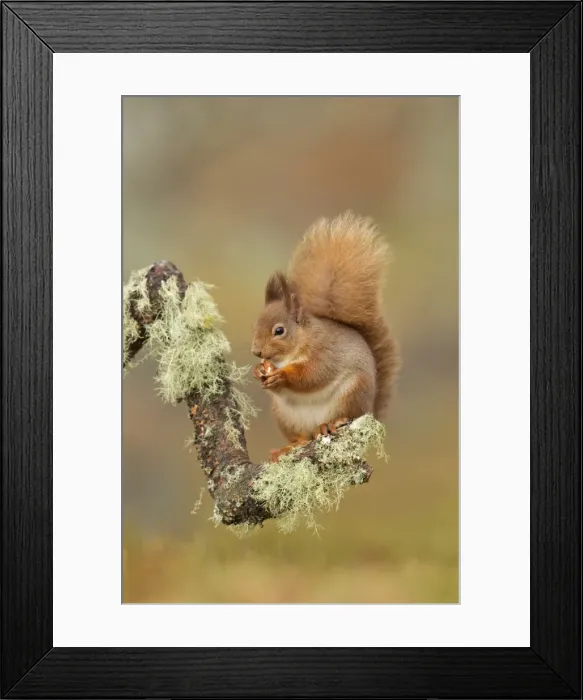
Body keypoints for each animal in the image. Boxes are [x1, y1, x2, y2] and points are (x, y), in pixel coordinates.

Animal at [251, 211, 400, 460]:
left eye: (279, 331)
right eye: (254, 324)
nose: (256, 351)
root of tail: (370, 411)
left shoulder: (325, 352)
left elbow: (313, 375)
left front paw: (282, 376)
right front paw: (257, 371)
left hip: (352, 393)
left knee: (344, 415)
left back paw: (330, 424)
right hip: (284, 415)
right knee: (302, 437)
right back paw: (289, 447)